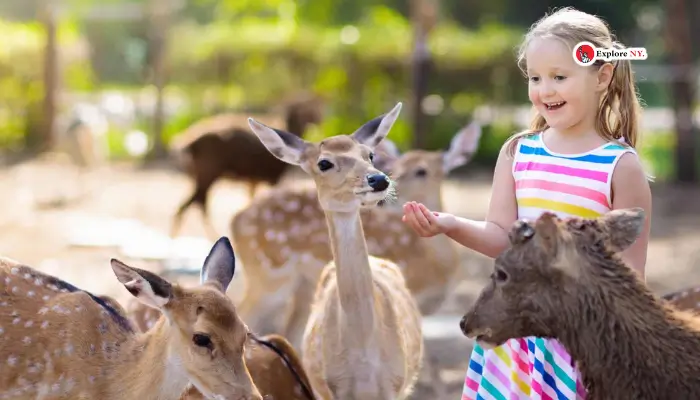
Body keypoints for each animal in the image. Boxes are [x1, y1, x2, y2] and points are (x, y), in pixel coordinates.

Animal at [232, 119, 484, 346]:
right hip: (269, 273)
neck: (437, 262)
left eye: (422, 171)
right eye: (397, 167)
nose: (386, 185)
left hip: (301, 286)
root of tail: (236, 219)